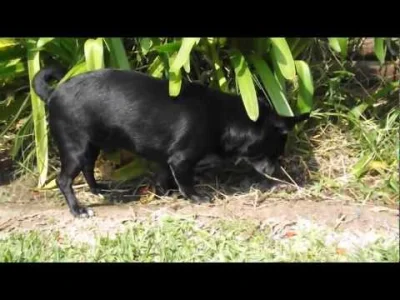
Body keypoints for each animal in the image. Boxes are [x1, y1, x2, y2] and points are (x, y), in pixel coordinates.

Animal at [32, 67, 310, 218]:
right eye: (273, 151)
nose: (276, 170)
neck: (223, 117)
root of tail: (53, 93)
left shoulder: (165, 161)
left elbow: (163, 178)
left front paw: (164, 194)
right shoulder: (181, 160)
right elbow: (186, 181)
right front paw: (195, 197)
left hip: (91, 146)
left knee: (88, 169)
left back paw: (99, 190)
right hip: (76, 148)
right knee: (64, 180)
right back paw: (78, 210)